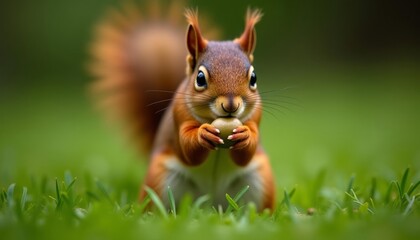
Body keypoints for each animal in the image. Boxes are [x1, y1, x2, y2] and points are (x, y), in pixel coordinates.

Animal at [89, 2, 276, 211]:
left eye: (254, 78)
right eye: (200, 78)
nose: (230, 105)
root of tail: (211, 203)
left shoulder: (255, 118)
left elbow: (246, 154)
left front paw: (245, 135)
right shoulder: (179, 116)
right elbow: (188, 150)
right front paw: (203, 134)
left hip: (260, 179)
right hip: (159, 179)